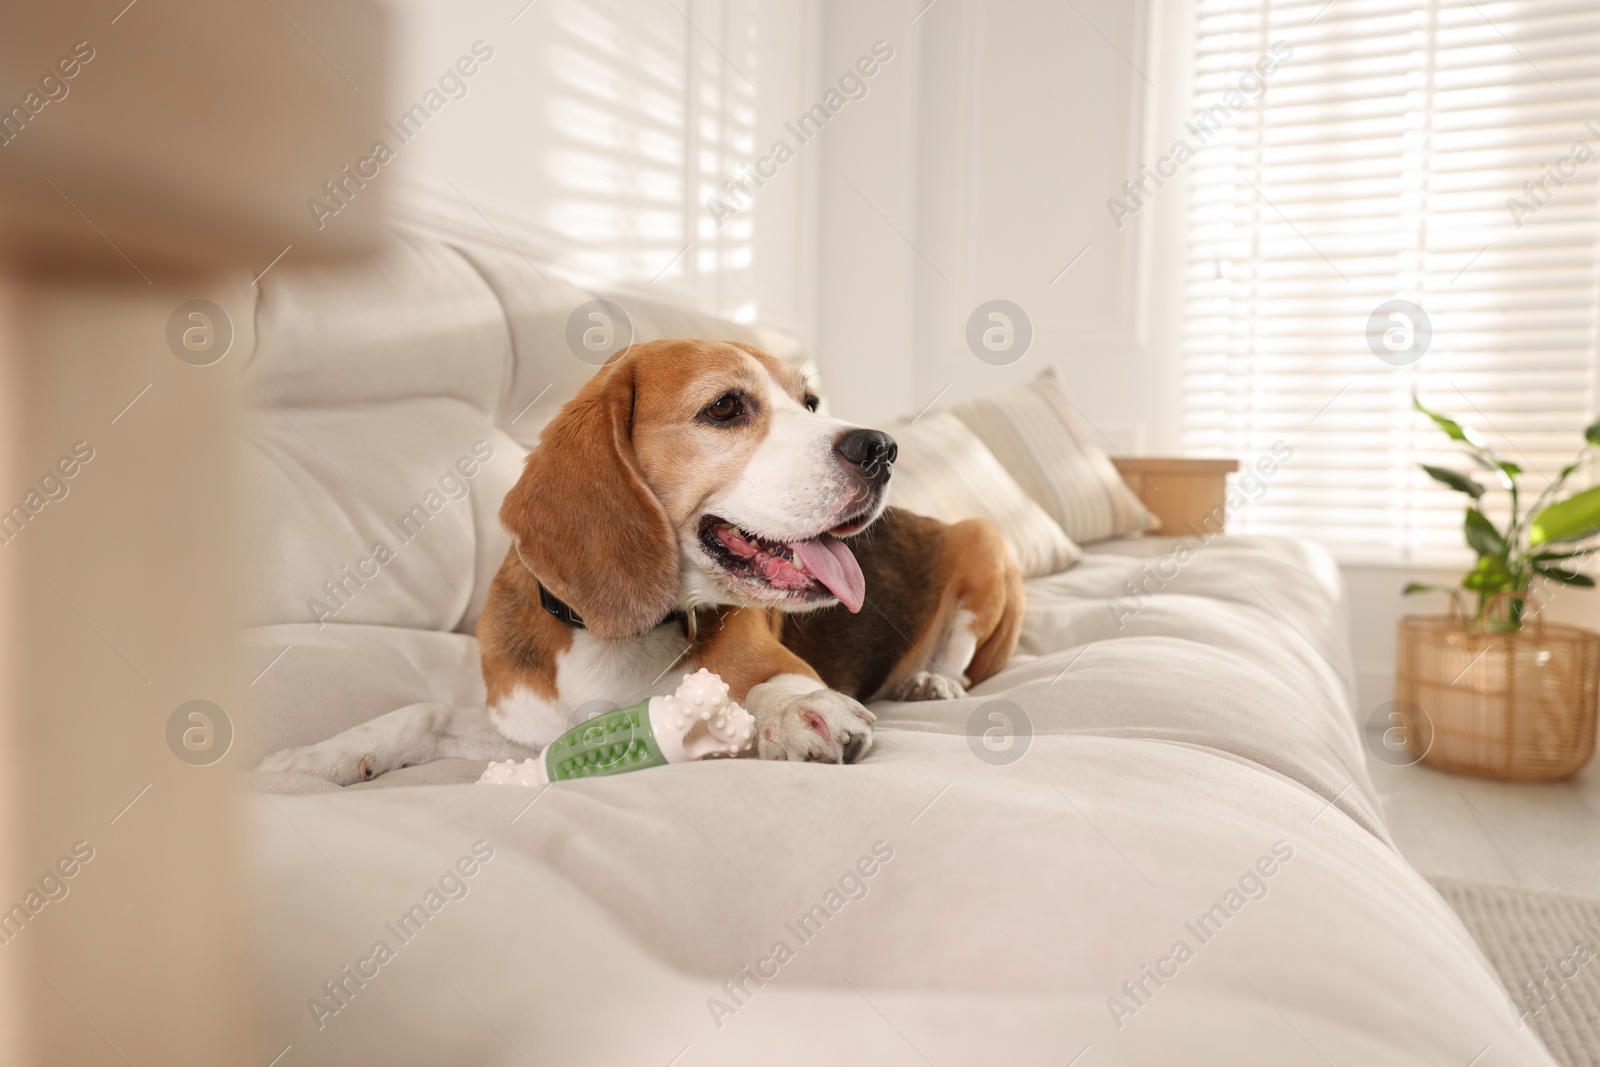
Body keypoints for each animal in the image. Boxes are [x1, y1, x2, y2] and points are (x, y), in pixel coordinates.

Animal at [256, 342, 1017, 783]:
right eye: (726, 407)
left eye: (809, 402)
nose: (883, 448)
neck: (616, 632)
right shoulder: (529, 728)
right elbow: (420, 713)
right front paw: (314, 758)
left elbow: (775, 684)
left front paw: (799, 710)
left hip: (985, 538)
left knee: (961, 657)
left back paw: (930, 682)